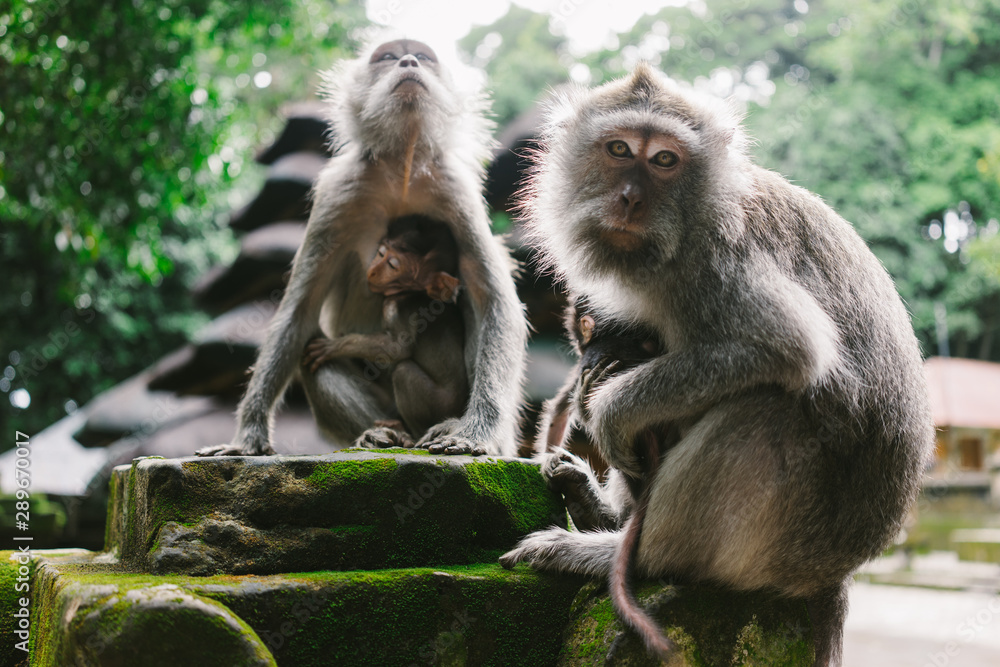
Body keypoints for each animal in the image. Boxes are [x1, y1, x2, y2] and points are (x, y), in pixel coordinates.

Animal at [301, 214, 467, 445]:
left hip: (438, 406)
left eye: (391, 265)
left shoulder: (395, 306)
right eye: (381, 253)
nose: (371, 271)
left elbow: (397, 348)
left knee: (403, 371)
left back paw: (410, 434)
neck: (412, 291)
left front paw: (333, 347)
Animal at [500, 63, 933, 666]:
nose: (630, 199)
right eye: (619, 149)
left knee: (765, 407)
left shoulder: (715, 264)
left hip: (794, 543)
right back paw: (603, 512)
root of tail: (836, 571)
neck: (684, 225)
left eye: (664, 159)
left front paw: (609, 411)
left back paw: (629, 556)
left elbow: (787, 346)